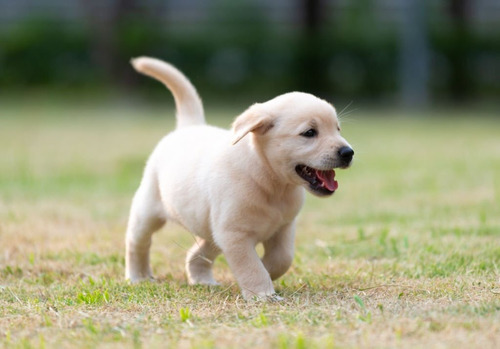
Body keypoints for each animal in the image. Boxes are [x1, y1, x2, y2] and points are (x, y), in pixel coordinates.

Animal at [125, 57, 354, 300]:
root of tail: (190, 126)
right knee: (137, 243)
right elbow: (251, 266)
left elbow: (282, 259)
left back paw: (202, 280)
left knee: (196, 254)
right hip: (148, 212)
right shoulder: (235, 236)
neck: (270, 182)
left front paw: (266, 273)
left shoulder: (282, 228)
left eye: (337, 129)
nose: (348, 152)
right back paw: (137, 276)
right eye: (310, 132)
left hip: (212, 231)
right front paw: (263, 294)